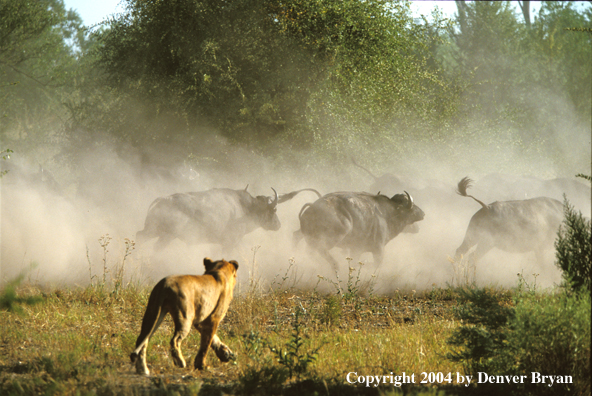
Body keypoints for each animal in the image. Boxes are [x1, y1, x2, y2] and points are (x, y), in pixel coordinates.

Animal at [136, 186, 320, 251]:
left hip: (164, 236)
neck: (245, 208)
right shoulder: (231, 242)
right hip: (156, 232)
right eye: (274, 209)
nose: (278, 225)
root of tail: (161, 200)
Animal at [292, 191, 424, 270]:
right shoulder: (379, 250)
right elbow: (376, 265)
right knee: (317, 250)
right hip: (334, 236)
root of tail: (313, 207)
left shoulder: (356, 249)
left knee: (303, 244)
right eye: (411, 206)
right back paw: (334, 265)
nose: (422, 213)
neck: (387, 214)